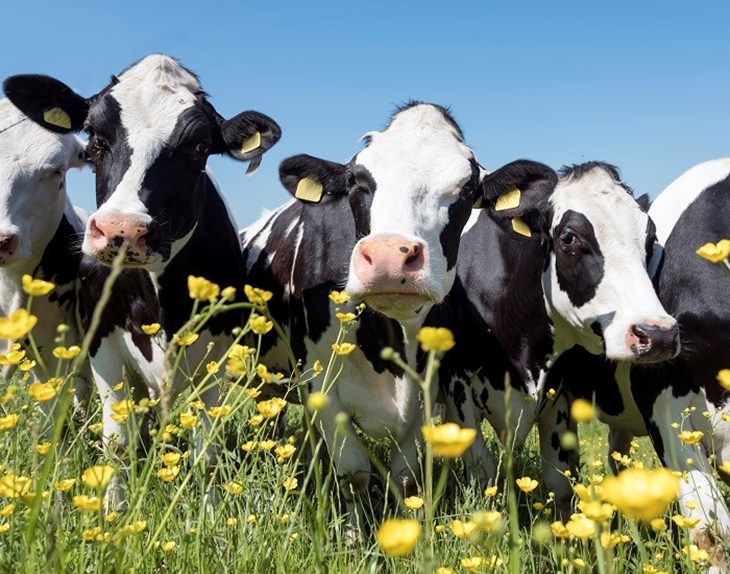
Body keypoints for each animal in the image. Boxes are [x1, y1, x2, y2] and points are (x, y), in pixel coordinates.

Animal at [240, 102, 559, 536]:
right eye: (356, 181)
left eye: (466, 189)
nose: (390, 257)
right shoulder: (320, 383)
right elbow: (354, 474)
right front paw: (353, 537)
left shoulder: (426, 391)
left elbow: (404, 475)